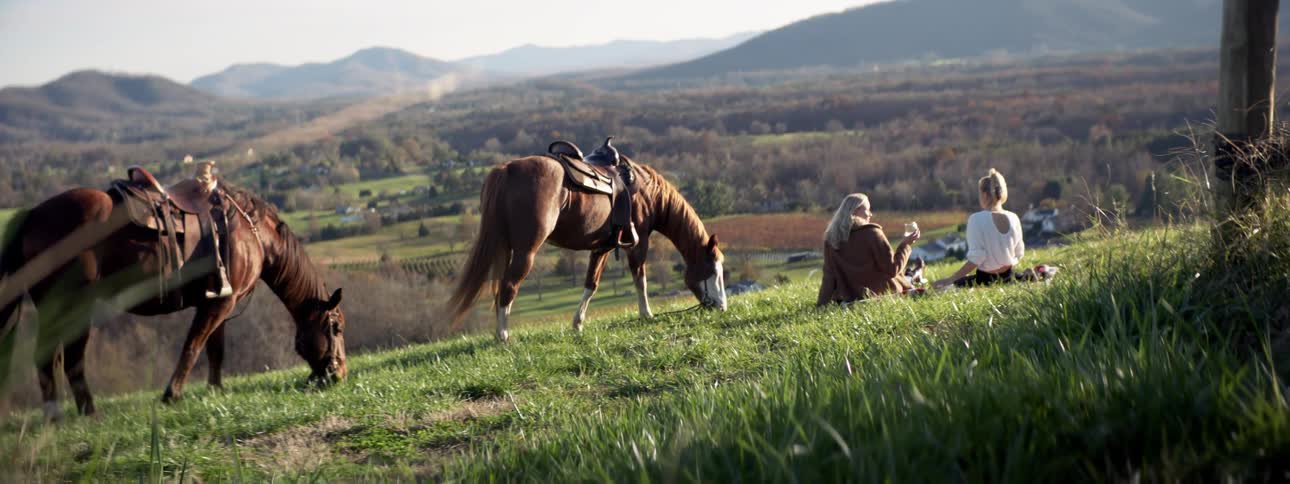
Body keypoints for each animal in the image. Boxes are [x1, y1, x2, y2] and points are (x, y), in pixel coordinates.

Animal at [0, 181, 347, 420]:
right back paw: (78, 415)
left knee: (58, 358)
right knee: (62, 357)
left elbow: (215, 349)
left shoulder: (220, 301)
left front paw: (215, 390)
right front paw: (172, 395)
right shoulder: (219, 304)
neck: (253, 234)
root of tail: (33, 215)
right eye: (336, 327)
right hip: (71, 306)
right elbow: (193, 345)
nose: (339, 374)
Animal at [447, 152, 727, 342]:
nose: (721, 307)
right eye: (714, 271)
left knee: (500, 289)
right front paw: (646, 314)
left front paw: (577, 324)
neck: (647, 192)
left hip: (505, 248)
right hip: (526, 252)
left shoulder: (602, 247)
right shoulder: (639, 243)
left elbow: (591, 285)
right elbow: (640, 278)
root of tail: (506, 170)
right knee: (508, 287)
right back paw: (503, 335)